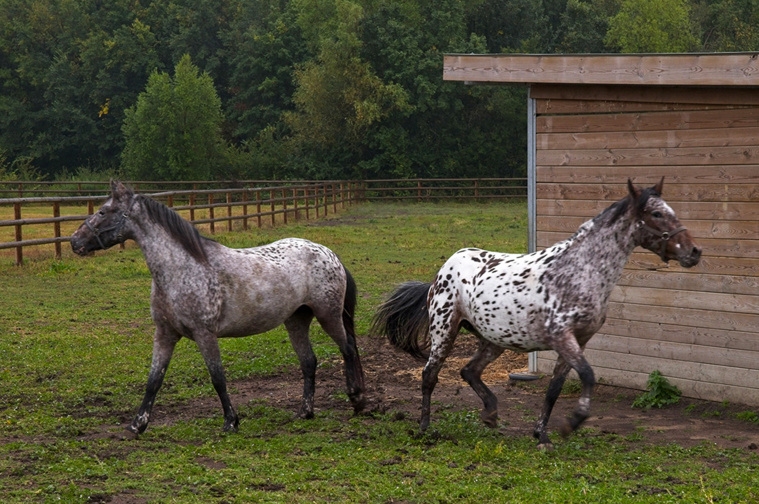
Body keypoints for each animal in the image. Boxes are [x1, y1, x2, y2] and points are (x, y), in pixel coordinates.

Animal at [71, 181, 366, 434]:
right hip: (296, 320)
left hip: (328, 315)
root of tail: (330, 254)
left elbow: (217, 378)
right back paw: (305, 412)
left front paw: (231, 422)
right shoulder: (165, 333)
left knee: (348, 348)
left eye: (103, 211)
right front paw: (137, 424)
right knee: (309, 362)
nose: (75, 241)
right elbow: (154, 380)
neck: (181, 269)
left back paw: (357, 400)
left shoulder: (205, 334)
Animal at [374, 178, 700, 448]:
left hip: (493, 339)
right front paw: (572, 423)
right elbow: (588, 376)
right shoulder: (562, 337)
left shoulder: (578, 341)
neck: (580, 272)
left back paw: (490, 414)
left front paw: (542, 436)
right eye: (656, 214)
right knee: (430, 375)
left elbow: (554, 389)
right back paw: (424, 428)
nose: (694, 252)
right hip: (444, 330)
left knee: (469, 371)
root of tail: (443, 270)